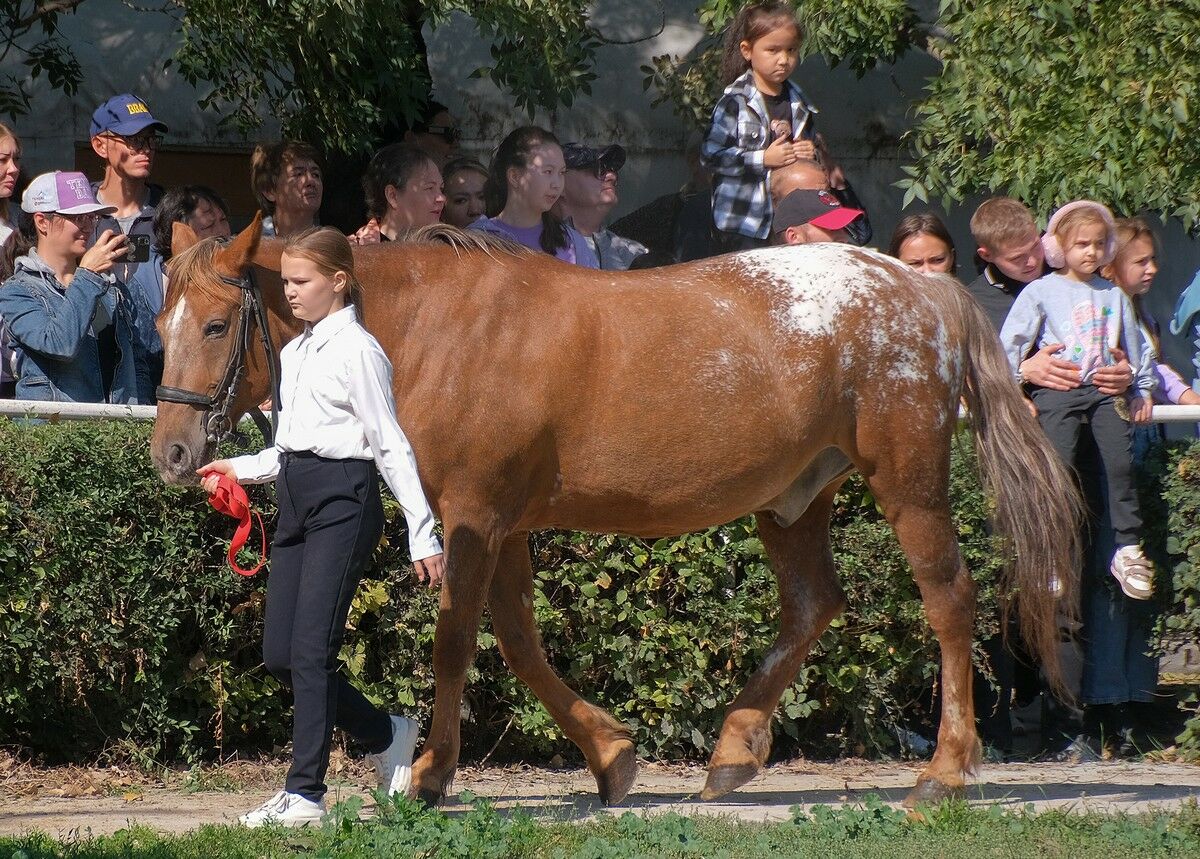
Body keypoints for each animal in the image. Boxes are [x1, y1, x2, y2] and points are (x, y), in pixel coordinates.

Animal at [150, 216, 1081, 809]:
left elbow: (457, 641)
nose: (173, 452)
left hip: (908, 483)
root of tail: (924, 289)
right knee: (815, 604)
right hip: (795, 500)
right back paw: (734, 749)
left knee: (949, 603)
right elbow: (519, 643)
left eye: (218, 322)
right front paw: (612, 758)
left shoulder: (475, 515)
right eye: (158, 323)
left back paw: (945, 771)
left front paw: (431, 775)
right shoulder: (506, 525)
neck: (434, 331)